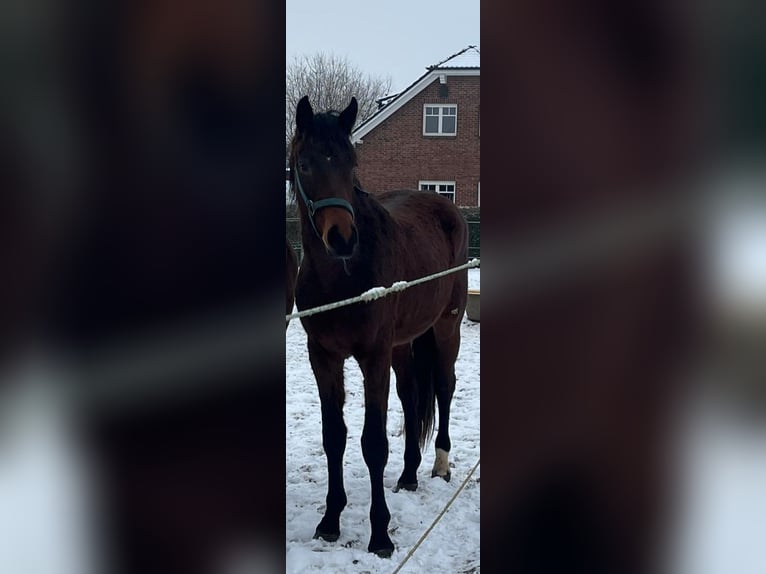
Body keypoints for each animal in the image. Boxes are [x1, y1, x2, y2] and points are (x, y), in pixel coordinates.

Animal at [288, 95, 468, 560]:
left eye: (351, 164)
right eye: (306, 164)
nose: (342, 239)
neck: (343, 276)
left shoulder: (372, 356)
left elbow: (372, 443)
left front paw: (380, 534)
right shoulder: (323, 356)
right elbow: (334, 436)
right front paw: (330, 521)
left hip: (445, 328)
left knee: (443, 387)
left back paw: (440, 465)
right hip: (403, 345)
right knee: (411, 395)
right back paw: (408, 474)